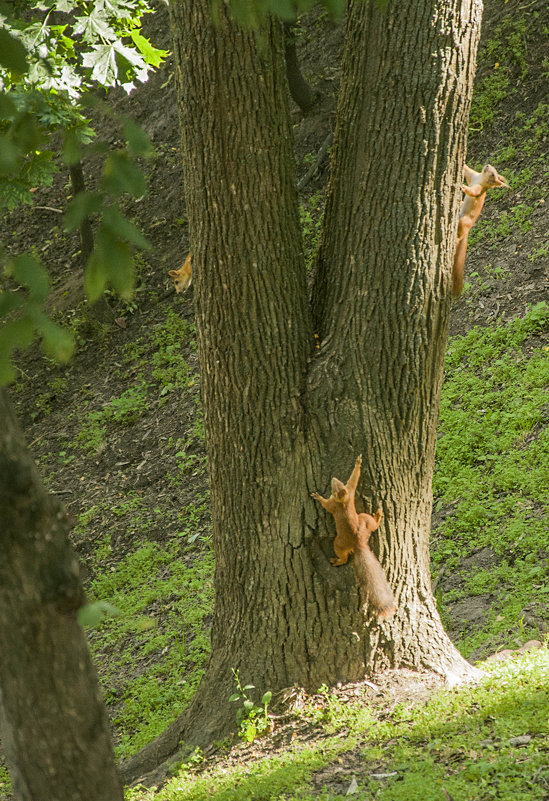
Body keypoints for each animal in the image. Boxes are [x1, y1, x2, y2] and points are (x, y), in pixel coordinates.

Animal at [312, 454, 394, 620]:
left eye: (334, 487)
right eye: (337, 483)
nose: (333, 477)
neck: (343, 500)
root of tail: (358, 542)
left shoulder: (334, 503)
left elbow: (326, 504)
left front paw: (318, 497)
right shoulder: (350, 491)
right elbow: (354, 479)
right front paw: (358, 463)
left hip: (338, 543)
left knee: (343, 557)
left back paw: (337, 561)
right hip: (364, 520)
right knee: (373, 525)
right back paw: (378, 515)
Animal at [452, 163, 508, 296]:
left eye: (493, 174)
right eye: (492, 169)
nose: (487, 165)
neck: (480, 177)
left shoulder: (479, 189)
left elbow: (473, 192)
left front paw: (462, 187)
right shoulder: (472, 176)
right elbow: (467, 171)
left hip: (465, 221)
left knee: (460, 234)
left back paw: (456, 239)